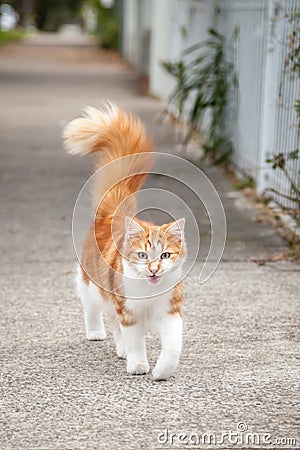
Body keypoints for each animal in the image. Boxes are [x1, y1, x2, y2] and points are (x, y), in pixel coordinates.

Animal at [63, 103, 185, 382]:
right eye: (143, 255)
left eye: (165, 256)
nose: (154, 270)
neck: (149, 292)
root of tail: (113, 214)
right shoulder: (129, 312)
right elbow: (135, 342)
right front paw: (138, 365)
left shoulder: (170, 313)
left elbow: (173, 347)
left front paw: (161, 371)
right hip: (90, 284)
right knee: (93, 310)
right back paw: (96, 333)